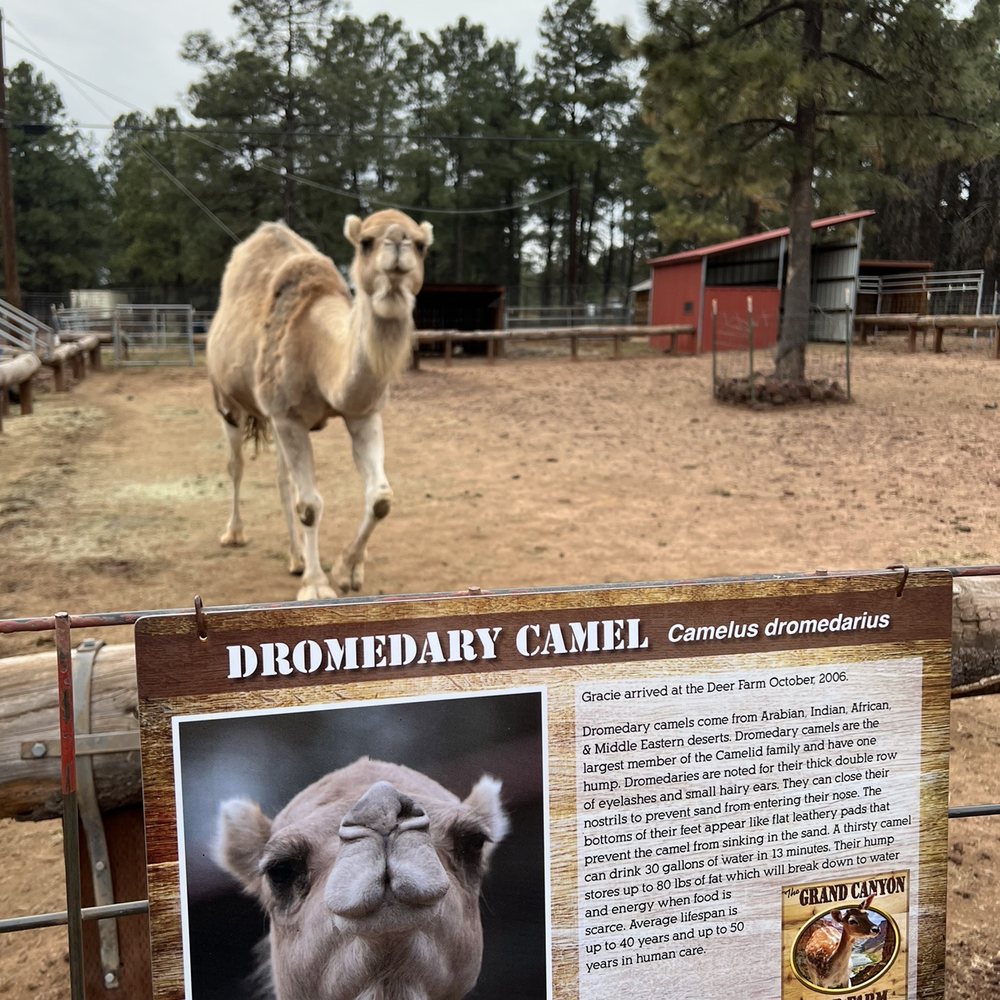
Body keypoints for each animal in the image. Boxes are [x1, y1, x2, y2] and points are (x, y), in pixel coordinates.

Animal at [206, 210, 433, 600]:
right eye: (365, 242)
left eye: (420, 245)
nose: (398, 242)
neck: (318, 352)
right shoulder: (287, 417)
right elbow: (310, 505)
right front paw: (316, 585)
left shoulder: (361, 413)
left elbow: (380, 497)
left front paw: (347, 571)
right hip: (226, 400)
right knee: (236, 465)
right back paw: (234, 534)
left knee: (283, 479)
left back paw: (296, 558)